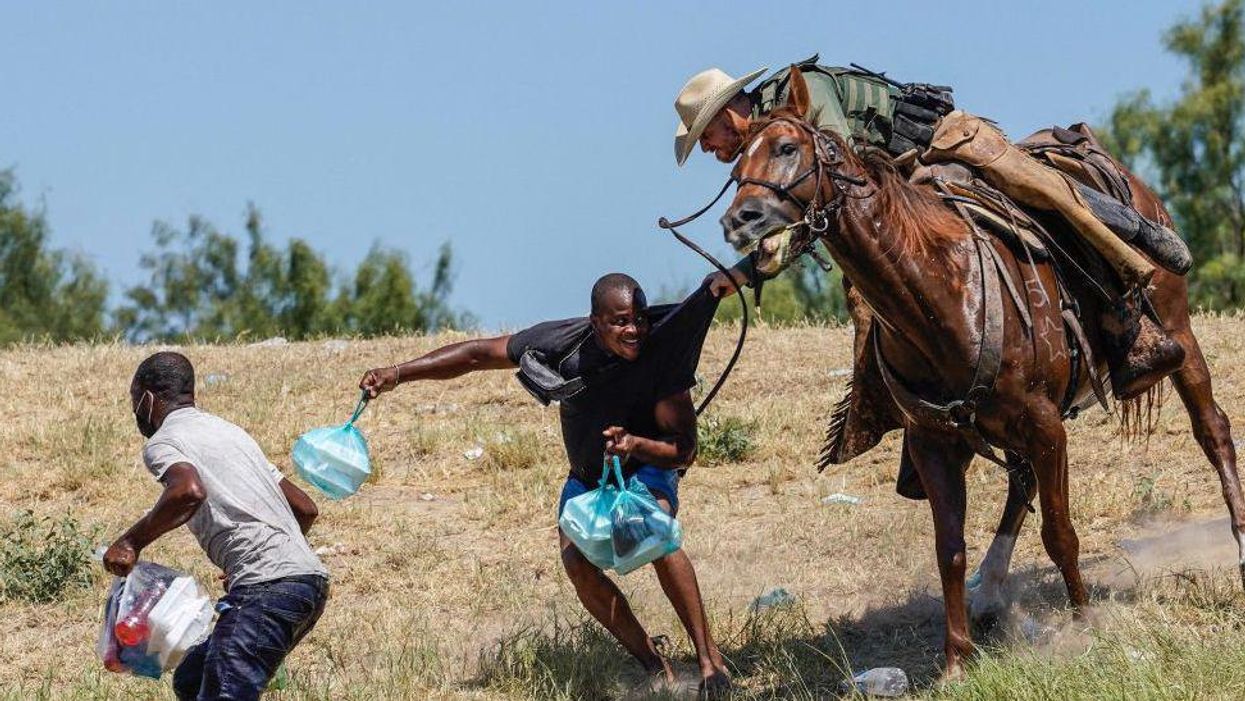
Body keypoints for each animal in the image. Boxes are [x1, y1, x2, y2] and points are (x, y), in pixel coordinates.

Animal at [722, 68, 1245, 677]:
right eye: (735, 167)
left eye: (787, 148)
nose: (739, 220)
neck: (941, 291)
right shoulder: (934, 442)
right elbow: (949, 548)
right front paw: (955, 657)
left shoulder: (1046, 425)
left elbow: (1059, 532)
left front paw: (1086, 624)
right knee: (1020, 483)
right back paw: (991, 591)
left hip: (1178, 330)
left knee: (1212, 429)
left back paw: (1237, 544)